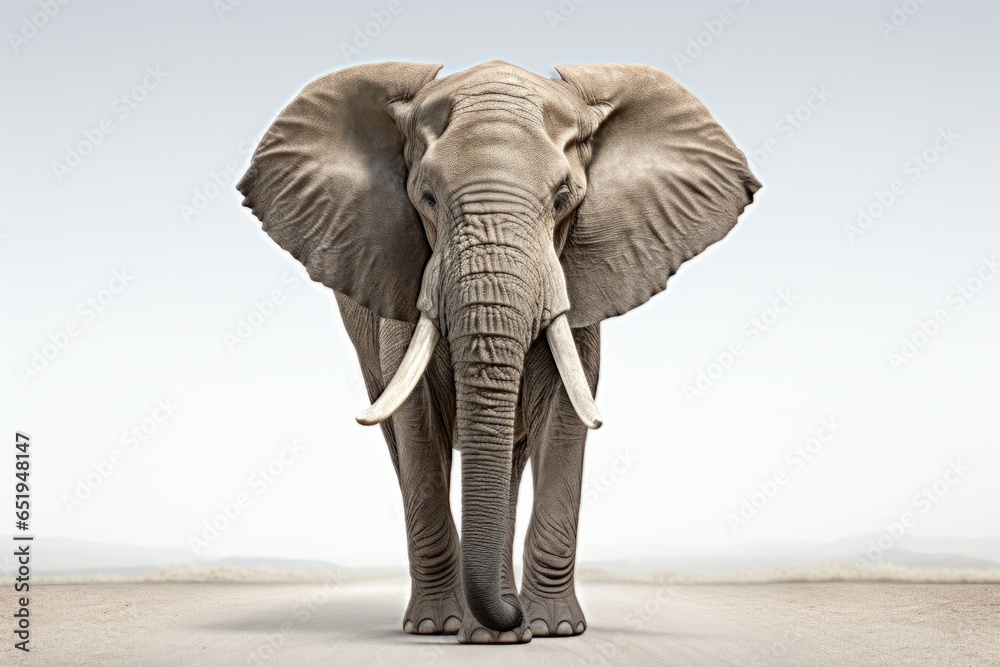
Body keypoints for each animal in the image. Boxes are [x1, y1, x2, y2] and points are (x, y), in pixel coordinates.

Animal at [237, 60, 759, 644]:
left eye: (563, 199)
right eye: (428, 198)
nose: (510, 618)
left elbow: (563, 416)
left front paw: (551, 629)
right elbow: (418, 425)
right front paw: (437, 627)